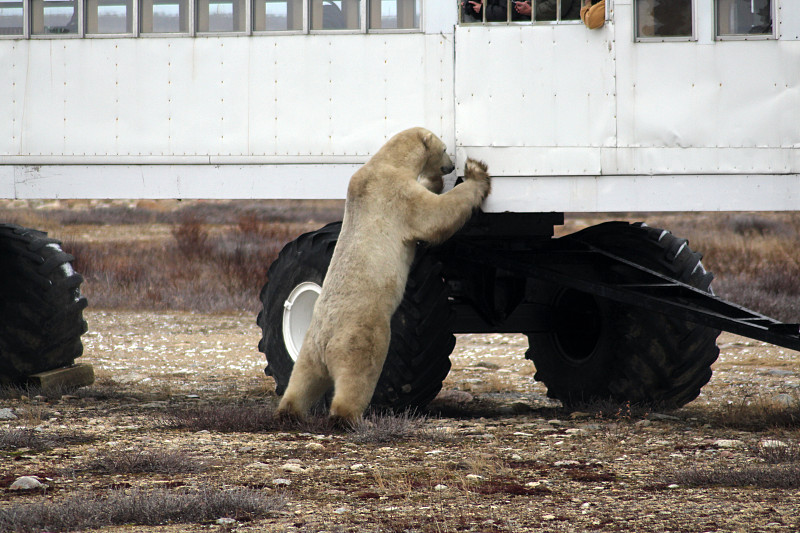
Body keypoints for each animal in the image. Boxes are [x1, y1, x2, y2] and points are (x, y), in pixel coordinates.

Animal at [276, 125, 490, 424]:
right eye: (445, 148)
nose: (449, 167)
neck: (386, 162)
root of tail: (326, 341)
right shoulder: (396, 195)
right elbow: (435, 216)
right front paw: (476, 172)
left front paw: (435, 180)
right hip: (361, 335)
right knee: (358, 374)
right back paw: (346, 417)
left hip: (309, 347)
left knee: (302, 379)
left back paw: (289, 411)